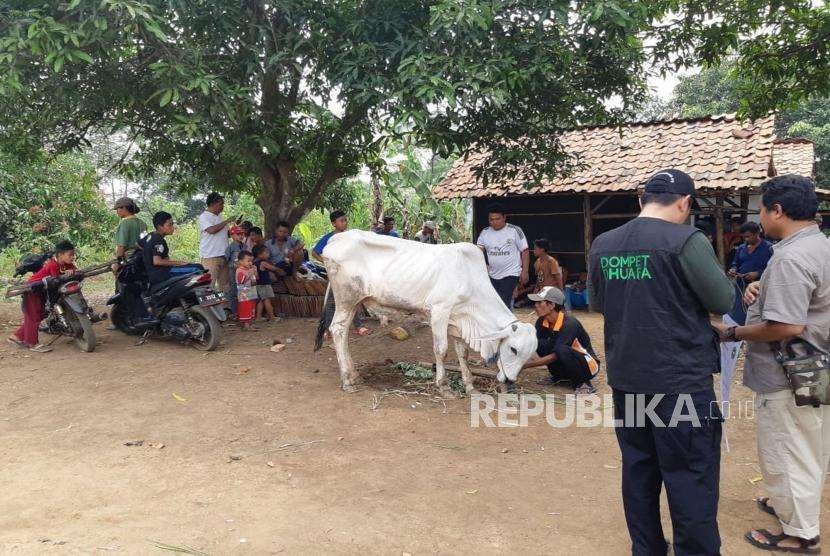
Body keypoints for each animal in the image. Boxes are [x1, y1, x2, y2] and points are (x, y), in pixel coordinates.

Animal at [314, 230, 540, 396]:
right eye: (513, 349)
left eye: (529, 355)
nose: (510, 380)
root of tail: (336, 238)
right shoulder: (439, 311)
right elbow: (441, 350)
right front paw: (443, 385)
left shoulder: (457, 319)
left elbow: (463, 353)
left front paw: (470, 386)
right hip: (346, 298)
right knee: (338, 329)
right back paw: (347, 380)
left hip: (355, 302)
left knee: (343, 333)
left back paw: (354, 375)